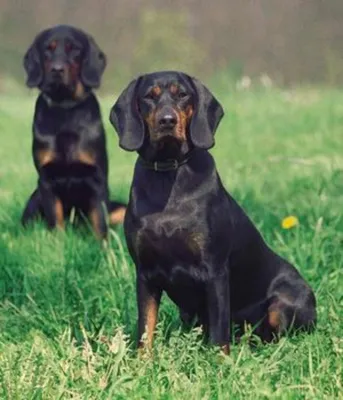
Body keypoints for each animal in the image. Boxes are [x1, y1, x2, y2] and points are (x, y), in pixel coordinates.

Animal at [21, 25, 126, 239]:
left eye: (74, 49)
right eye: (48, 48)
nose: (57, 69)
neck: (65, 107)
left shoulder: (97, 179)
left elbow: (99, 222)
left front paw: (101, 247)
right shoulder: (46, 180)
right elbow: (56, 220)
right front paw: (58, 244)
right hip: (34, 199)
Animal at [110, 71, 318, 354]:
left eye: (182, 94)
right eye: (149, 96)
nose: (167, 120)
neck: (168, 175)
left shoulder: (215, 271)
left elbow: (219, 331)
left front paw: (221, 361)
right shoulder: (145, 273)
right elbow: (145, 327)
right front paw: (142, 362)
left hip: (284, 301)